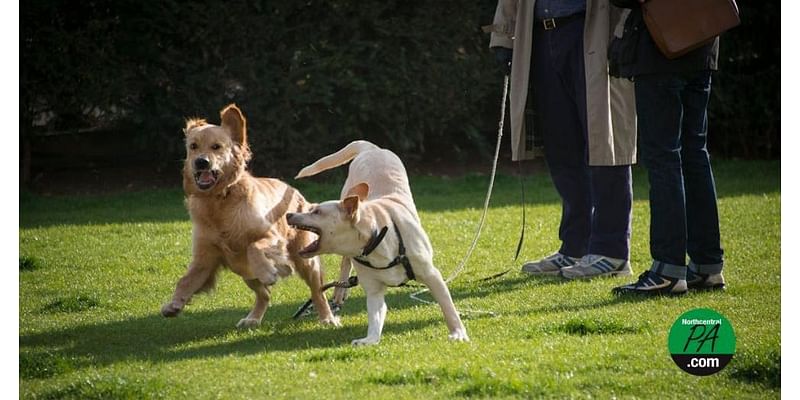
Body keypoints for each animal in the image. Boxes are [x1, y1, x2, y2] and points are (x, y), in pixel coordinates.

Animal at [161, 104, 340, 328]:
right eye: (193, 146)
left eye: (216, 147)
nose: (201, 162)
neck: (220, 200)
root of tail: (295, 191)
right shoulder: (205, 257)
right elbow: (185, 280)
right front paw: (174, 303)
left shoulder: (271, 236)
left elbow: (253, 247)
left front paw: (269, 271)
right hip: (243, 271)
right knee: (264, 294)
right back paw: (253, 318)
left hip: (306, 260)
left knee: (318, 292)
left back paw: (327, 318)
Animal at [286, 140, 468, 344]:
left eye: (316, 211)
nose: (289, 214)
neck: (376, 239)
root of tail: (373, 148)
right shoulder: (373, 291)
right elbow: (375, 316)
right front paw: (369, 340)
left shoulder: (432, 275)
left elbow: (448, 307)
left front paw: (458, 333)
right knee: (345, 263)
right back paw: (340, 293)